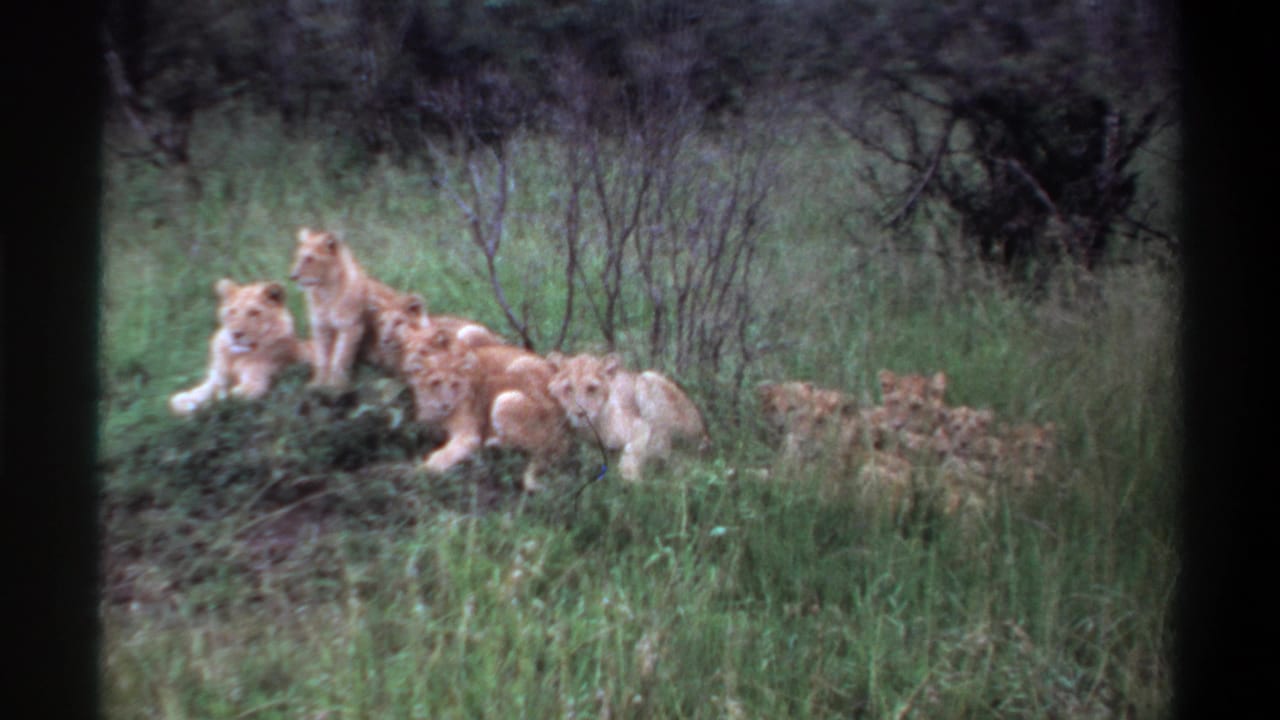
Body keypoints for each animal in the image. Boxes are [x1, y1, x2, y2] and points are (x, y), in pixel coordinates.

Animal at [169, 278, 312, 415]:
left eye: (254, 313)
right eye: (232, 311)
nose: (236, 334)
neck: (235, 357)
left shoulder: (254, 386)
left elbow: (223, 398)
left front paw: (200, 407)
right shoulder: (217, 379)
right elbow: (203, 391)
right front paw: (183, 401)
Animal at [289, 227, 411, 387]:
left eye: (310, 258)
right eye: (298, 257)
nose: (293, 276)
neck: (324, 292)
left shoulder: (351, 326)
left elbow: (340, 357)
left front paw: (335, 385)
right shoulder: (320, 327)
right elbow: (322, 357)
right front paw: (318, 384)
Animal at [405, 342, 570, 491]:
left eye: (455, 384)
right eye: (435, 383)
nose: (446, 405)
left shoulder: (468, 435)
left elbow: (446, 454)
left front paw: (421, 469)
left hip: (506, 398)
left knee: (541, 448)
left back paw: (492, 444)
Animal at [546, 353, 710, 482]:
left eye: (592, 388)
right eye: (568, 388)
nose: (580, 413)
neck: (593, 428)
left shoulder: (639, 425)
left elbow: (632, 450)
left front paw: (631, 481)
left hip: (646, 380)